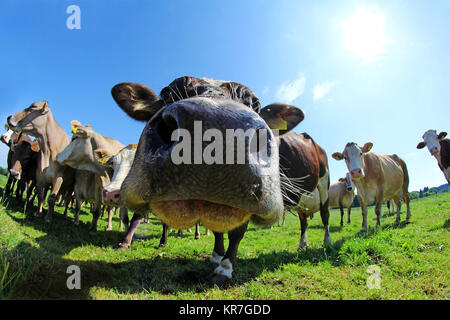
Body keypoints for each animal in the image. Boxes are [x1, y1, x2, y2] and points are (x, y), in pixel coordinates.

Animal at [110, 75, 310, 282]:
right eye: (166, 93)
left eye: (256, 104)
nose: (216, 129)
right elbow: (217, 231)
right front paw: (216, 255)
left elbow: (236, 234)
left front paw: (225, 268)